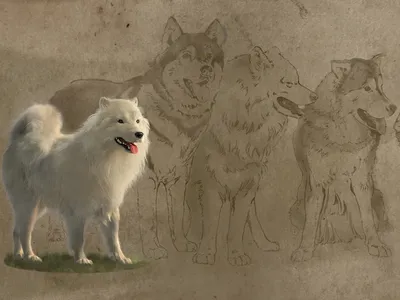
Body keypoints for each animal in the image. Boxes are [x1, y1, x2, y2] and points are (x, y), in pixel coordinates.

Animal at [1, 96, 150, 264]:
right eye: (120, 121)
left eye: (137, 121)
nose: (139, 134)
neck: (104, 155)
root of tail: (19, 139)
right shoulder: (77, 210)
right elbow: (79, 239)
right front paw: (81, 260)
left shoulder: (109, 206)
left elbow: (113, 238)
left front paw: (120, 258)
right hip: (29, 204)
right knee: (25, 232)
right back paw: (30, 256)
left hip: (37, 206)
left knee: (16, 230)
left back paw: (18, 255)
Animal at [48, 16, 227, 258]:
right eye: (186, 56)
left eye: (209, 56)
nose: (207, 70)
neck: (179, 115)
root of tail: (56, 95)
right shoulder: (146, 179)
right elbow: (149, 218)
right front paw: (153, 249)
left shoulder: (180, 176)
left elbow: (178, 213)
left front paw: (180, 245)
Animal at [184, 44, 318, 264]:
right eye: (289, 82)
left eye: (297, 80)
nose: (315, 97)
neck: (245, 124)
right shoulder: (212, 184)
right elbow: (210, 224)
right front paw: (205, 253)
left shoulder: (248, 184)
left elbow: (237, 227)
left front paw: (236, 254)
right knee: (196, 217)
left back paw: (265, 243)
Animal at [290, 54, 396, 262]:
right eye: (367, 88)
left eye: (381, 86)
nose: (393, 108)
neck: (342, 135)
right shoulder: (316, 182)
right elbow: (311, 221)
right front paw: (304, 250)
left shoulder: (362, 179)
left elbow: (367, 217)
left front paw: (375, 244)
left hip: (377, 195)